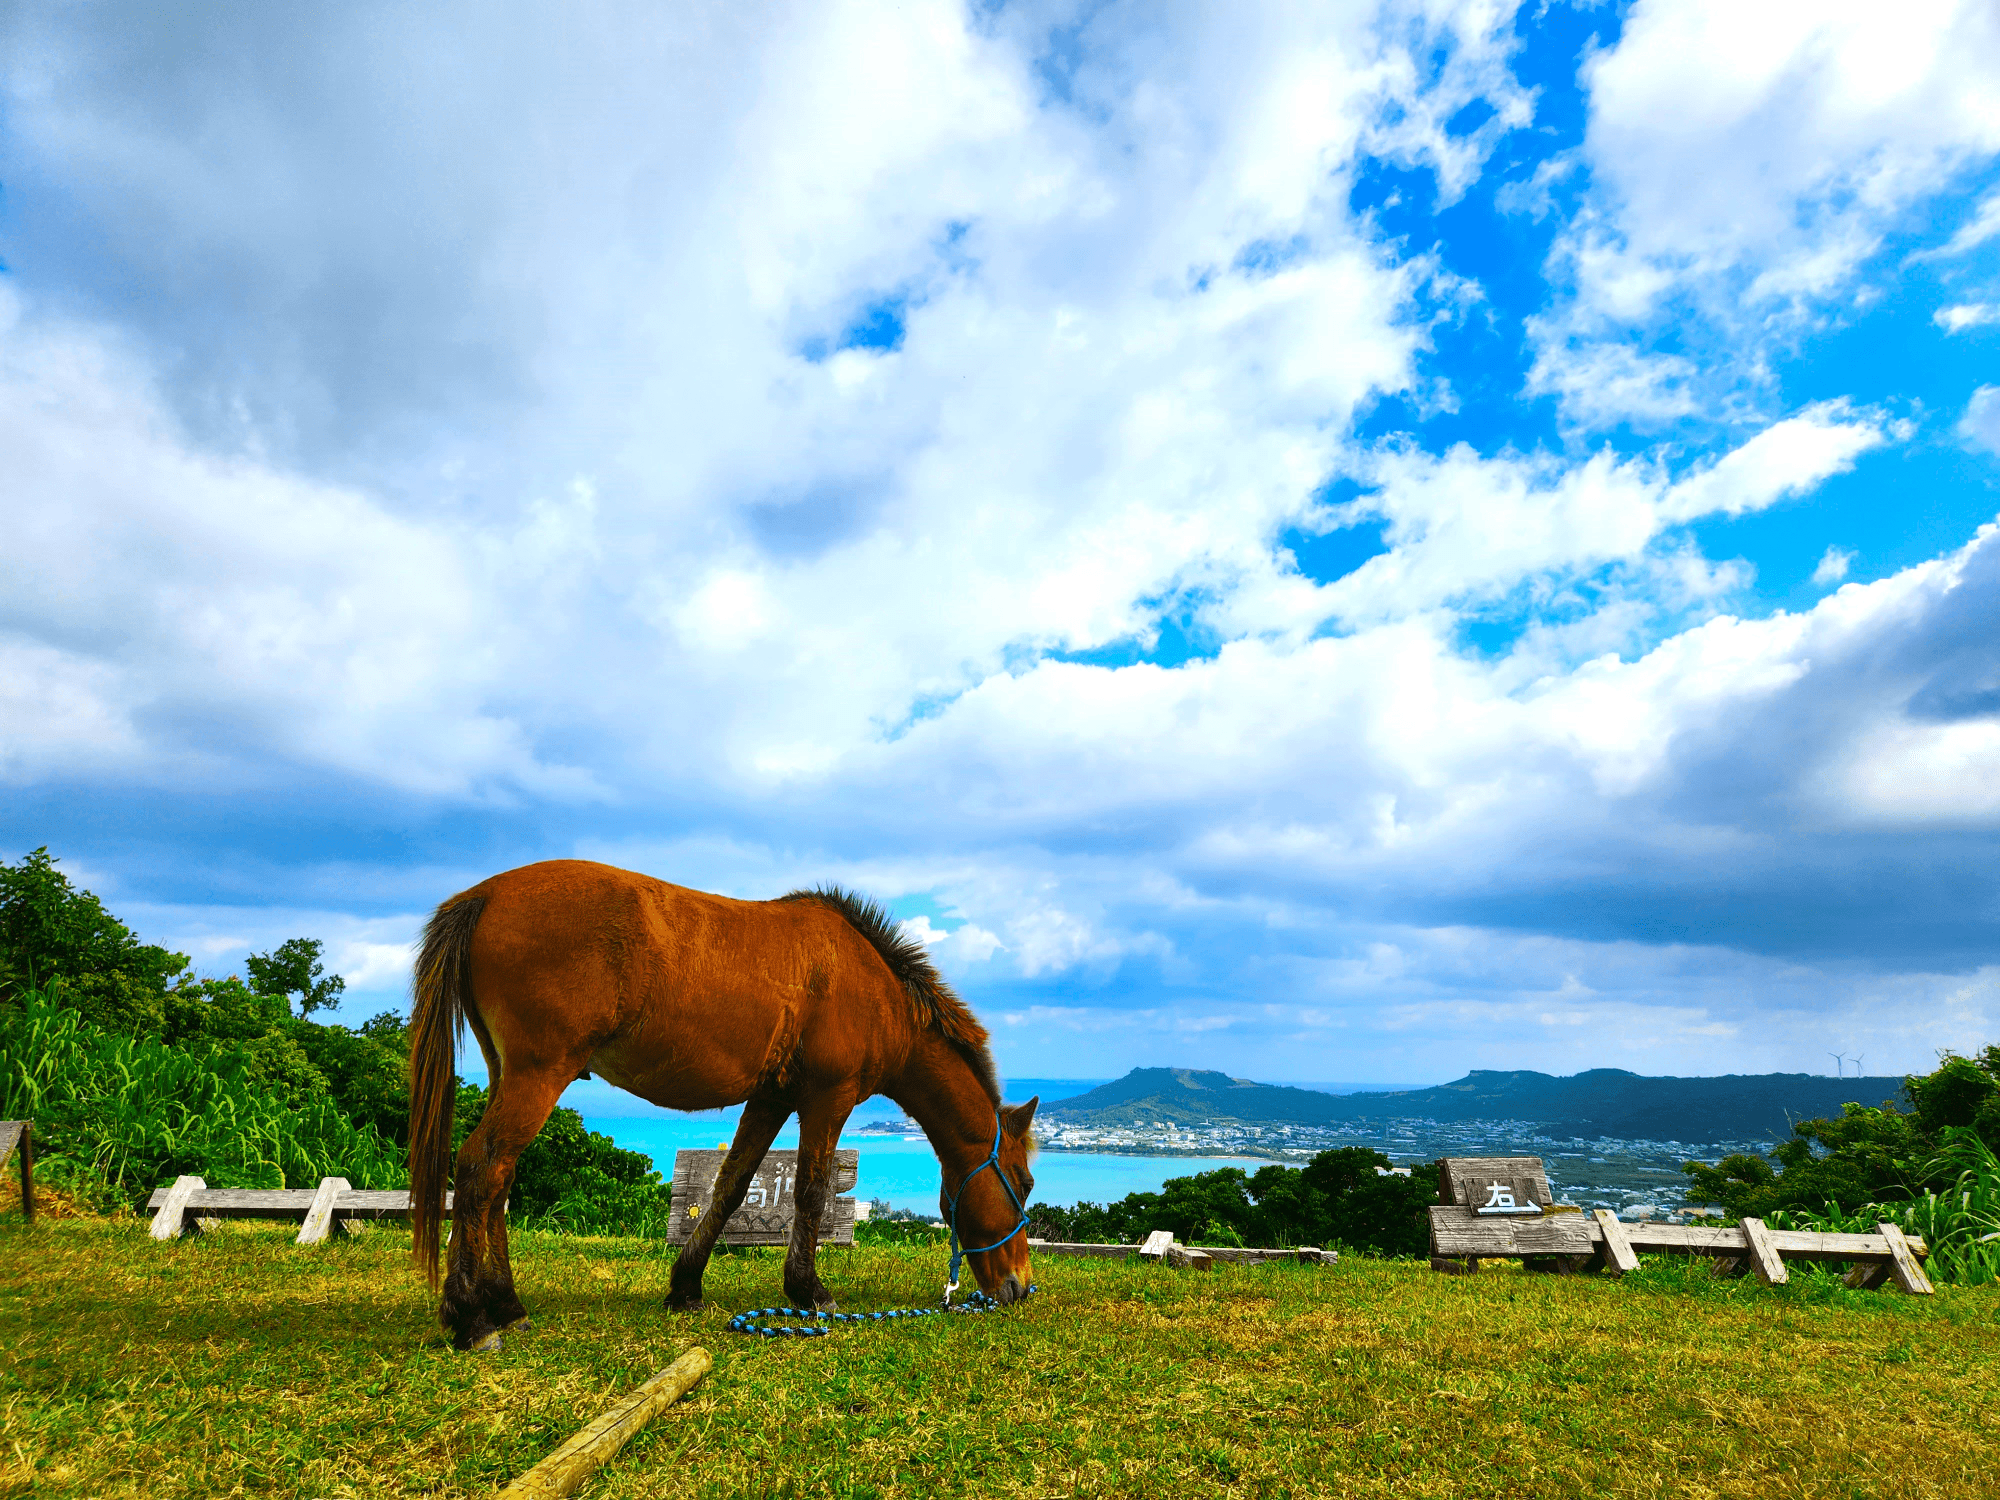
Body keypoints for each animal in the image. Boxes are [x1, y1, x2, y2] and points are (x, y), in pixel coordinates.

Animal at [400, 864, 1040, 1360]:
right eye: (1026, 1183)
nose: (1020, 1287)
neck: (873, 989)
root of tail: (484, 895)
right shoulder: (826, 1097)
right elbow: (811, 1191)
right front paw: (808, 1291)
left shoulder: (772, 1097)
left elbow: (732, 1185)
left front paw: (686, 1286)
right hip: (538, 1074)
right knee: (481, 1167)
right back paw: (472, 1317)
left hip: (509, 1074)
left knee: (499, 1179)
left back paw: (506, 1303)